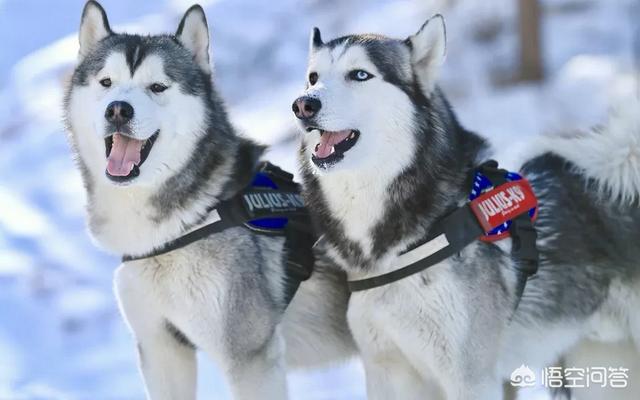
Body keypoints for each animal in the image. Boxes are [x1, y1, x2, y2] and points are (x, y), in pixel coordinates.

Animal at [63, 1, 356, 398]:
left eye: (157, 87)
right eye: (106, 82)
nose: (118, 109)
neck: (181, 224)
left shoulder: (249, 357)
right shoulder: (160, 348)